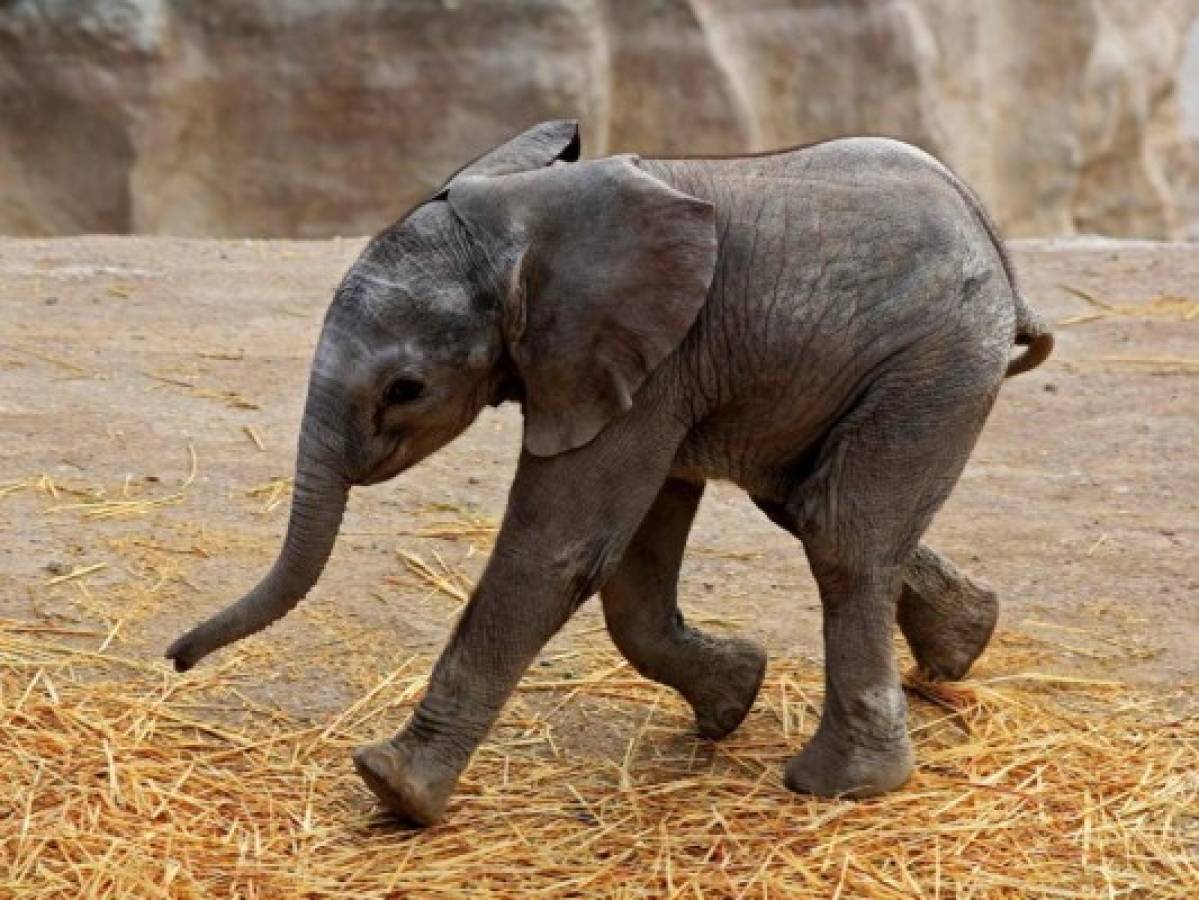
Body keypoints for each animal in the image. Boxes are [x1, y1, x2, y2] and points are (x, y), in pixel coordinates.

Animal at [166, 120, 1053, 826]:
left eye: (405, 389)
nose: (175, 661)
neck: (520, 218)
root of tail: (996, 249)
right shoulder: (643, 367)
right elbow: (631, 561)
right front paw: (731, 700)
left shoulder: (646, 359)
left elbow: (558, 552)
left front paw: (392, 790)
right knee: (801, 505)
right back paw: (958, 652)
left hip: (931, 359)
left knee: (840, 537)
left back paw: (840, 785)